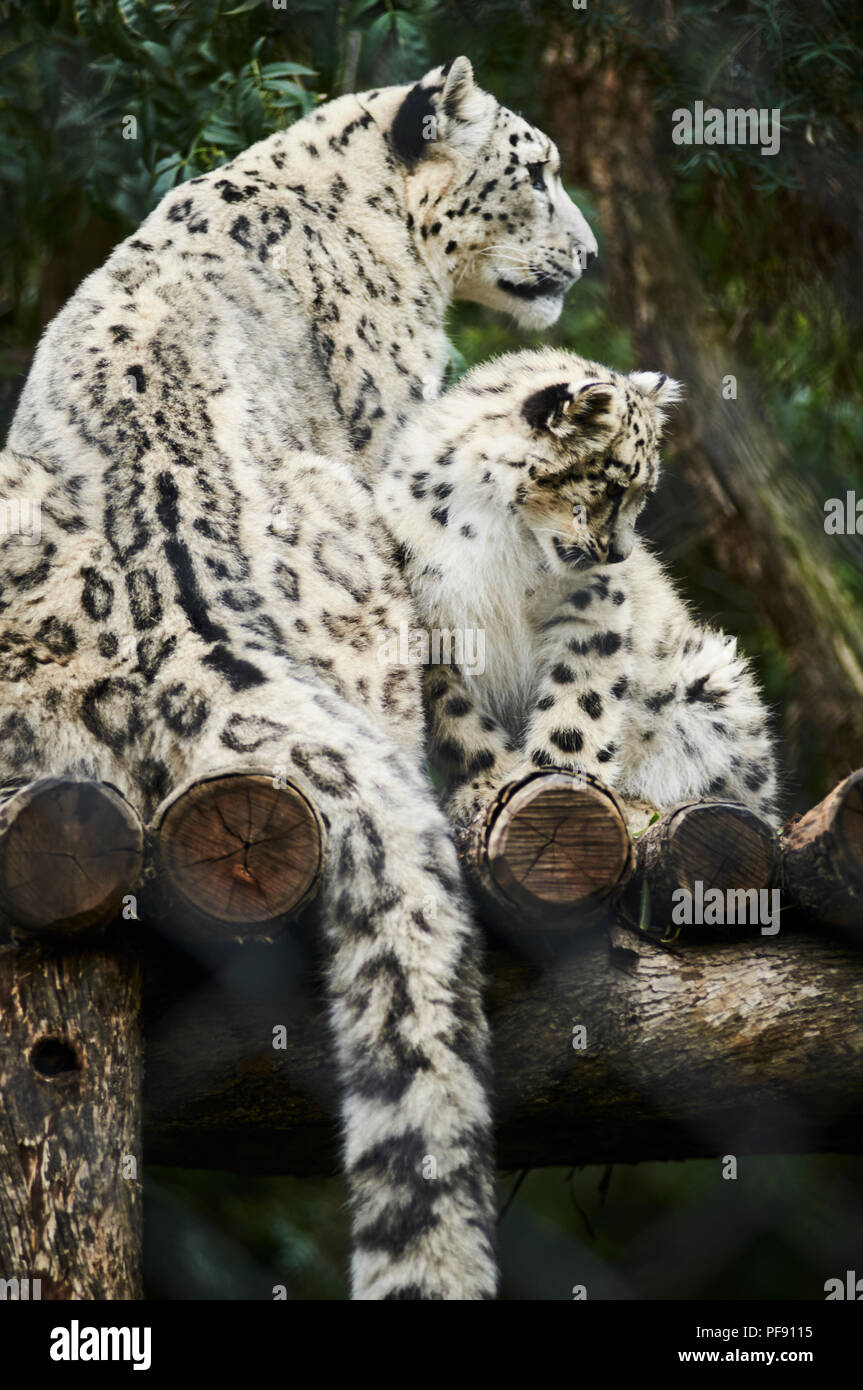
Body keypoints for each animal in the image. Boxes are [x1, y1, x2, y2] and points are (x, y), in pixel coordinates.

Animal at [372, 350, 778, 822]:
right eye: (615, 486)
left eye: (644, 491)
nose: (621, 553)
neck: (493, 528)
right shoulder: (432, 622)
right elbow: (455, 712)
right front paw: (486, 784)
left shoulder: (591, 604)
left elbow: (581, 696)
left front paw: (553, 774)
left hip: (712, 683)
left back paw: (640, 805)